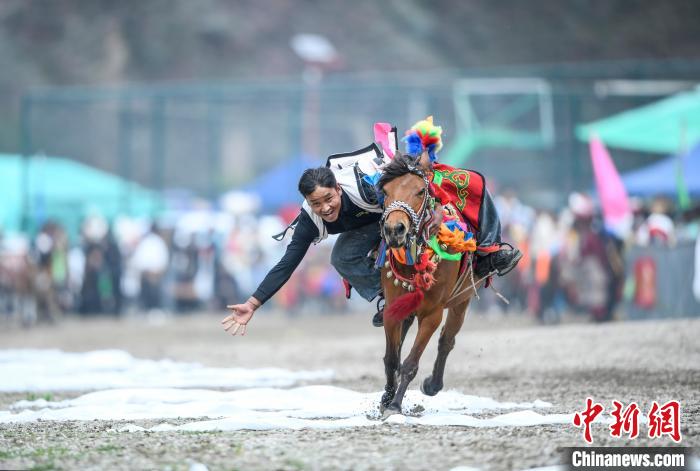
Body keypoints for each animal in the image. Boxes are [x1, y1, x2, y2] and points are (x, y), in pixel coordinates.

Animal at [374, 151, 484, 416]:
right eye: (385, 191)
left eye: (420, 191)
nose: (394, 229)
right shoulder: (393, 308)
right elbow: (391, 359)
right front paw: (387, 398)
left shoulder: (432, 313)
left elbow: (410, 363)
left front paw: (395, 405)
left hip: (462, 299)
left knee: (447, 340)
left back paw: (433, 385)